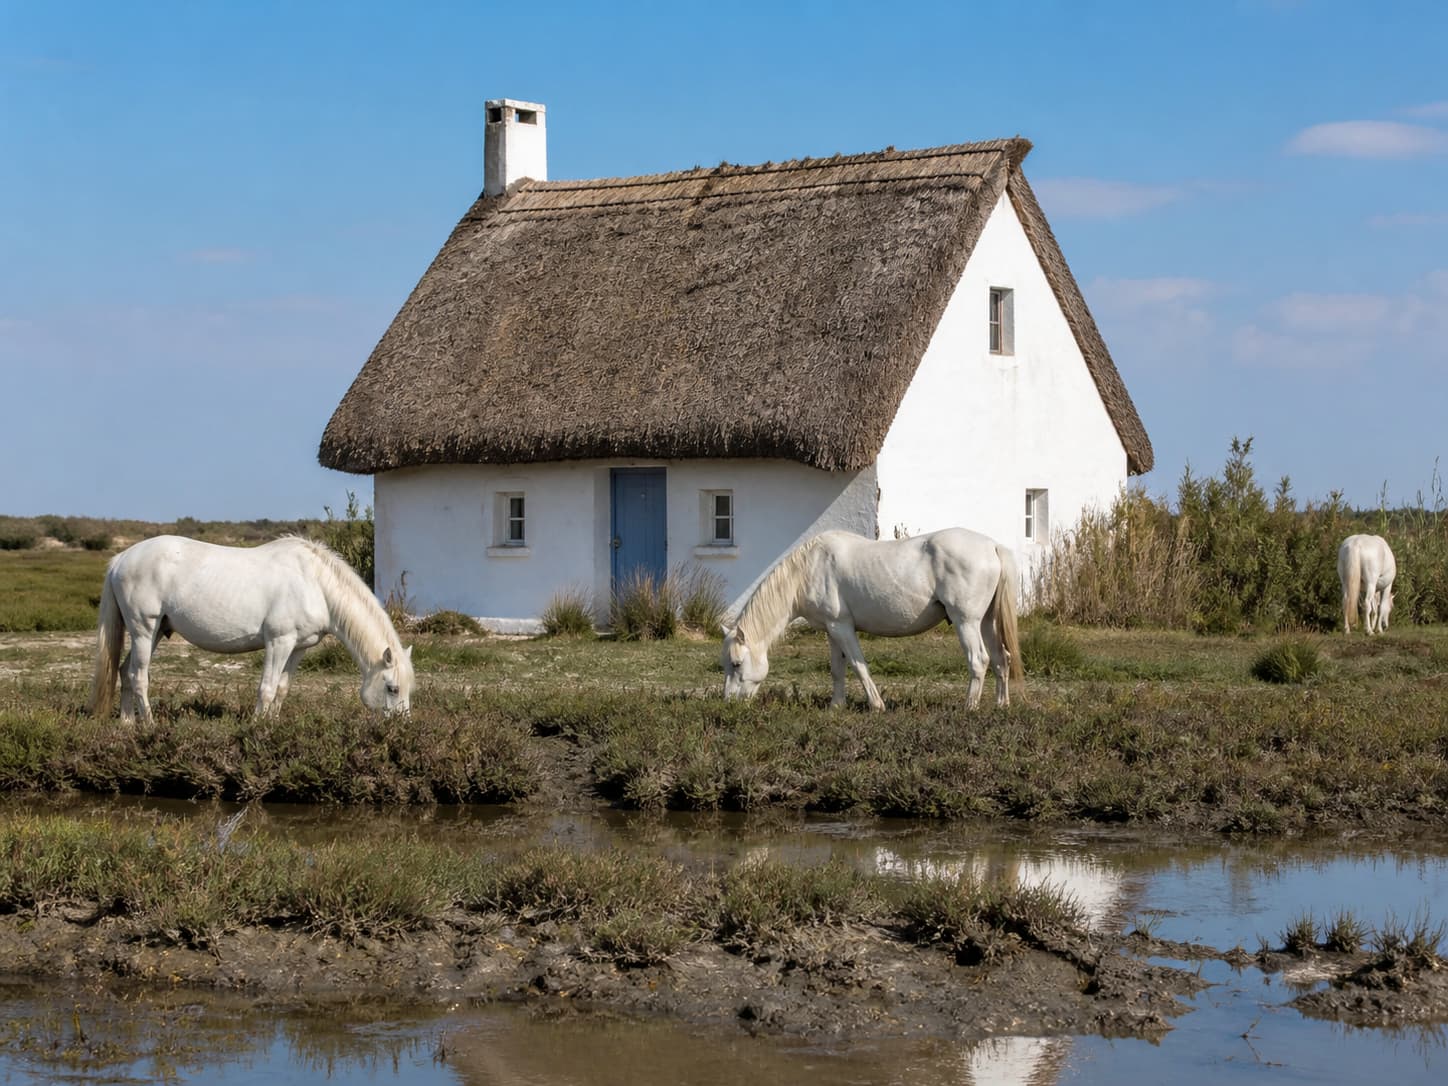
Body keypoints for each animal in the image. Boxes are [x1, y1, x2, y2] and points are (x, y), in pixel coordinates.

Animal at [87, 535, 414, 722]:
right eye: (392, 688)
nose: (403, 727)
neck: (316, 583)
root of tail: (121, 559)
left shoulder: (298, 647)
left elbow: (282, 689)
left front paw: (271, 726)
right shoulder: (279, 642)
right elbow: (266, 689)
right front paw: (257, 730)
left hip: (154, 633)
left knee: (124, 671)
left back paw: (127, 725)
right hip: (144, 630)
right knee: (138, 676)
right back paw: (150, 727)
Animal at [721, 527, 1023, 710]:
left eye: (737, 664)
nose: (729, 702)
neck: (809, 568)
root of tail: (992, 547)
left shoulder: (842, 627)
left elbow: (858, 665)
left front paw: (876, 705)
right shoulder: (831, 631)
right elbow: (837, 669)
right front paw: (836, 706)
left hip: (966, 622)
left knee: (979, 660)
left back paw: (969, 707)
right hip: (985, 622)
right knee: (1001, 659)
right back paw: (1002, 704)